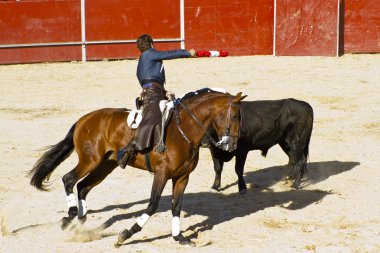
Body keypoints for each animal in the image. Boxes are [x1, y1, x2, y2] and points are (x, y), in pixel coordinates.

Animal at [27, 89, 246, 247]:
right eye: (235, 116)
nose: (234, 145)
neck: (183, 131)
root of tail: (84, 119)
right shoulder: (161, 175)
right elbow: (152, 205)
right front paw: (125, 234)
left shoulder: (182, 177)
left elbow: (176, 206)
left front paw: (179, 237)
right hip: (90, 161)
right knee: (69, 179)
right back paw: (71, 216)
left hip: (106, 165)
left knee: (83, 186)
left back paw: (80, 221)